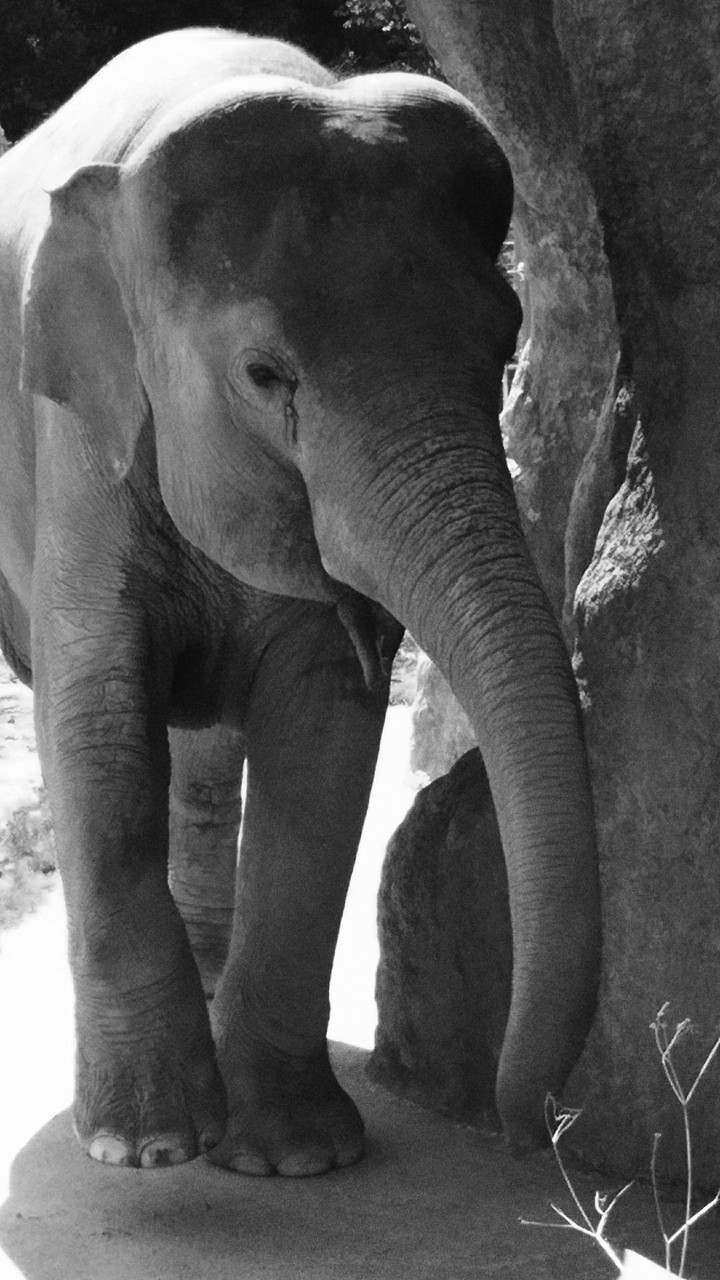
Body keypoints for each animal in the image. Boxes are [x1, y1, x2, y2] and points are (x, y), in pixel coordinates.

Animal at [0, 26, 601, 1174]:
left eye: (506, 341)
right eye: (264, 374)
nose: (527, 1133)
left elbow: (322, 737)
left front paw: (294, 1155)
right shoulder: (75, 442)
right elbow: (95, 714)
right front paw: (148, 1147)